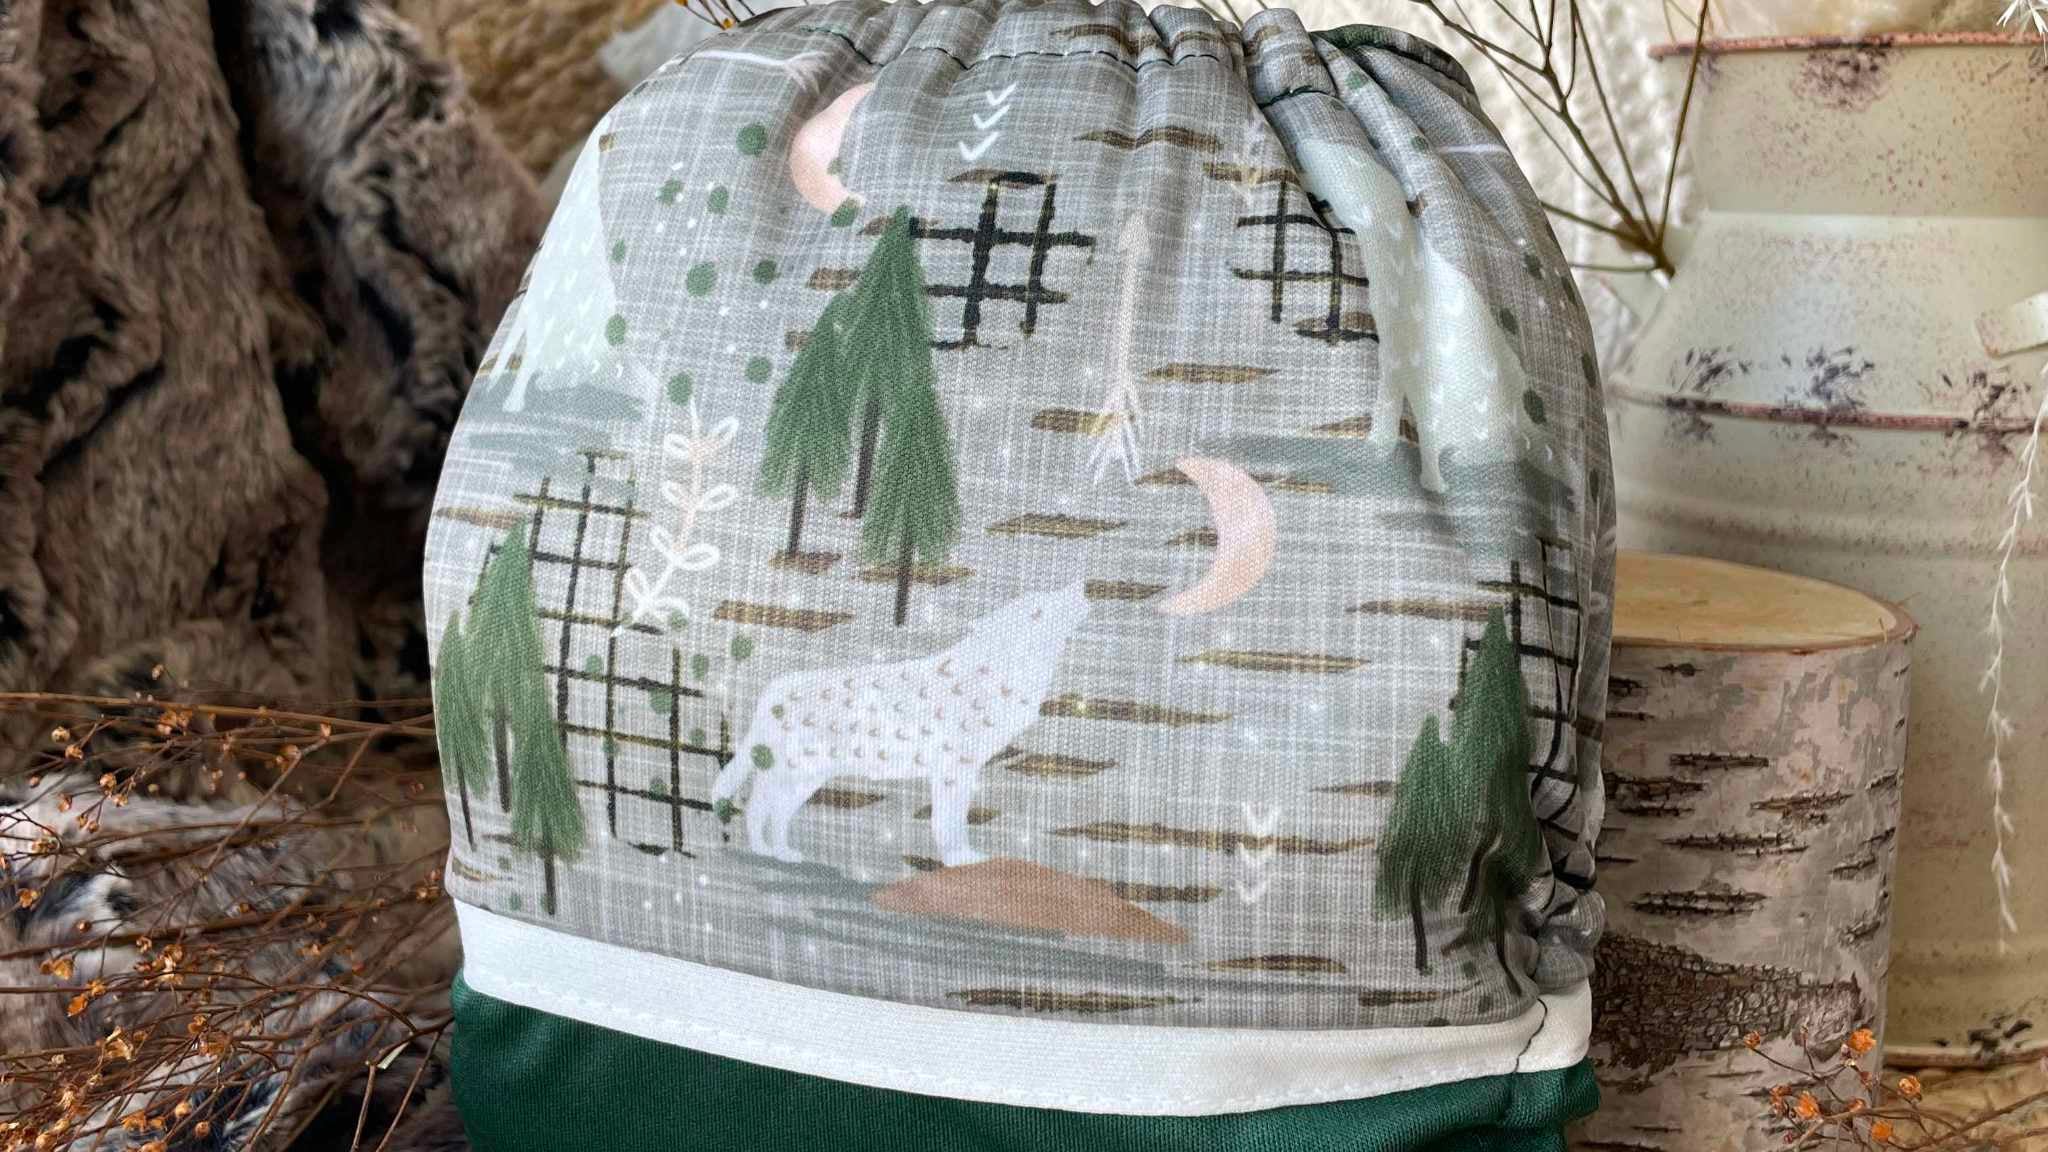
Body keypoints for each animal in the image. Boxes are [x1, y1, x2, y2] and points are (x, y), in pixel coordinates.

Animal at [712, 581, 1093, 867]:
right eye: (1038, 610)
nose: (1081, 585)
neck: (1000, 677)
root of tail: (772, 690)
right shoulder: (953, 769)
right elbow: (948, 821)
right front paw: (959, 859)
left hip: (806, 779)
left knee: (769, 809)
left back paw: (778, 852)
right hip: (796, 773)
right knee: (759, 806)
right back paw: (768, 852)